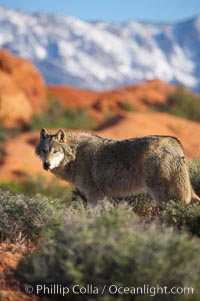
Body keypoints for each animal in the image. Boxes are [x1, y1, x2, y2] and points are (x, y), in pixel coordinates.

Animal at [35, 127, 199, 205]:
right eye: (44, 151)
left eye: (55, 151)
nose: (46, 164)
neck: (75, 154)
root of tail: (174, 143)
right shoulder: (101, 195)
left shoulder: (94, 194)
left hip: (159, 193)